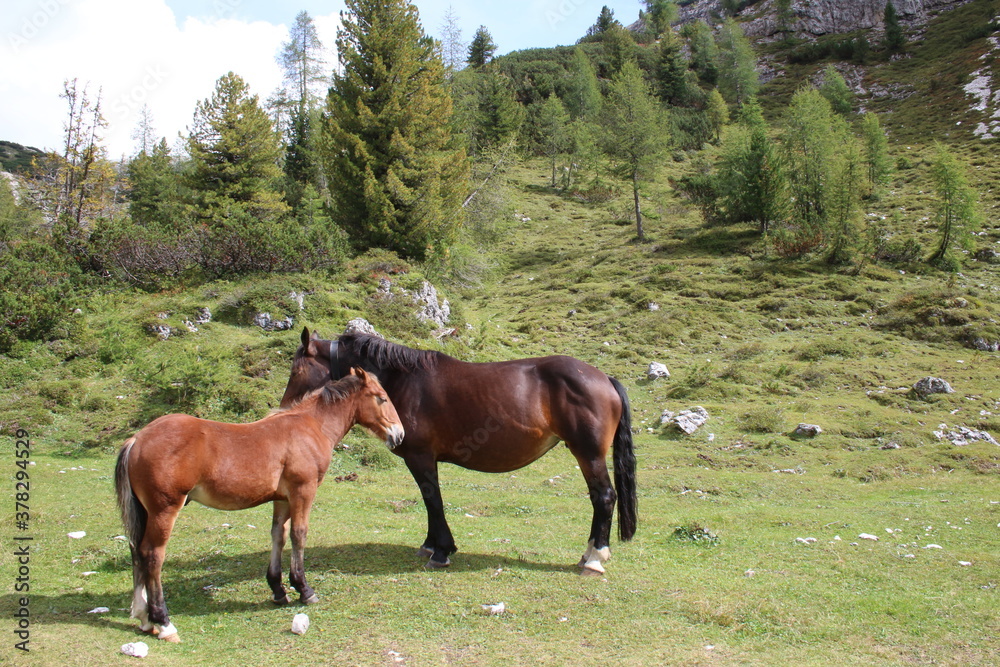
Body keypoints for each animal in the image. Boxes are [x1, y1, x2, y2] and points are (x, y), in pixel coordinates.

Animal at [120, 368, 406, 644]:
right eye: (382, 398)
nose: (399, 434)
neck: (311, 426)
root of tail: (136, 439)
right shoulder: (303, 491)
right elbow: (299, 534)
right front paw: (304, 589)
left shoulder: (282, 498)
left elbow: (278, 535)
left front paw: (278, 589)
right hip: (164, 509)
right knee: (153, 555)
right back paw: (164, 623)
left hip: (146, 512)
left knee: (137, 552)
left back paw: (144, 617)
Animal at [282, 328, 636, 576]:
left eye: (296, 370)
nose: (284, 409)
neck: (404, 381)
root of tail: (604, 377)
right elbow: (430, 501)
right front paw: (430, 546)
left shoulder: (421, 457)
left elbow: (432, 499)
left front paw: (441, 551)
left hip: (588, 454)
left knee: (604, 497)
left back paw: (594, 558)